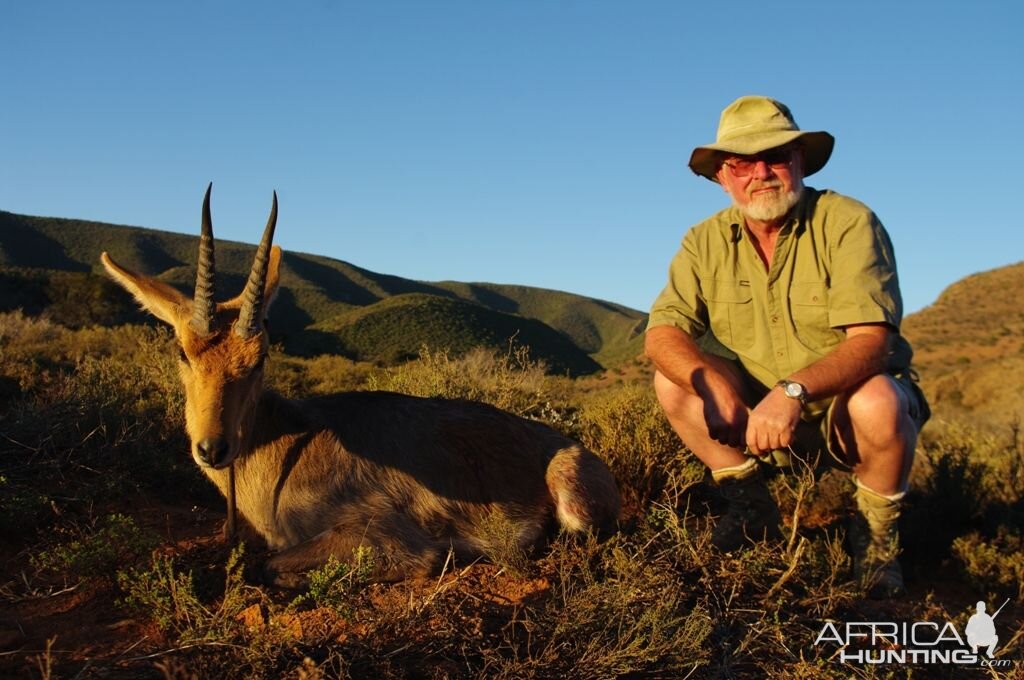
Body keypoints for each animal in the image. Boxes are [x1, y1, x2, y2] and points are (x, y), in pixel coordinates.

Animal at [99, 184, 618, 585]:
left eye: (260, 357)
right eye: (182, 351)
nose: (213, 448)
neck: (286, 441)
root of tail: (569, 445)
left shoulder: (386, 538)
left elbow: (269, 566)